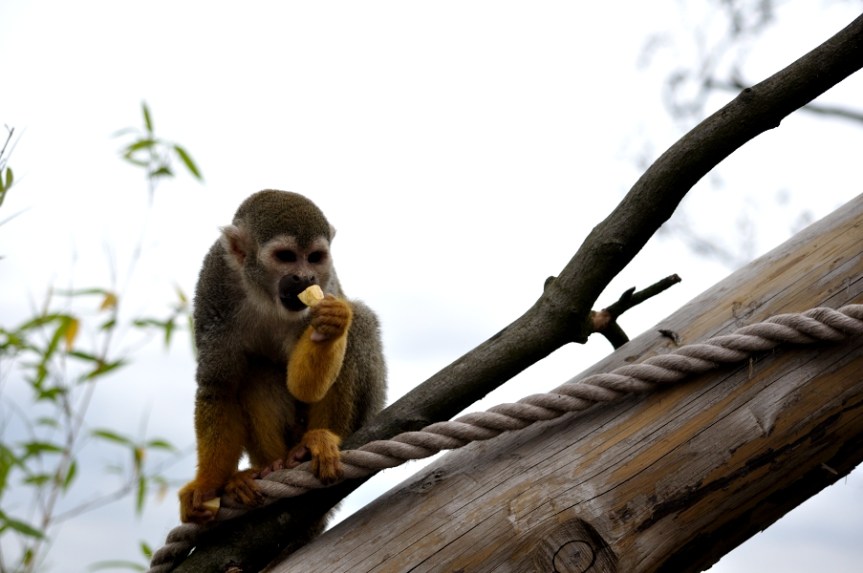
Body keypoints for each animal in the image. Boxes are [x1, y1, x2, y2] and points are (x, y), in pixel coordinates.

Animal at [178, 189, 386, 525]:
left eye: (314, 257)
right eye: (286, 257)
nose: (305, 277)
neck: (264, 295)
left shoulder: (325, 284)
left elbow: (303, 386)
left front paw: (333, 325)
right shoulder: (213, 282)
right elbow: (219, 386)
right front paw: (206, 485)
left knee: (360, 323)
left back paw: (318, 440)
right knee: (254, 369)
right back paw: (268, 467)